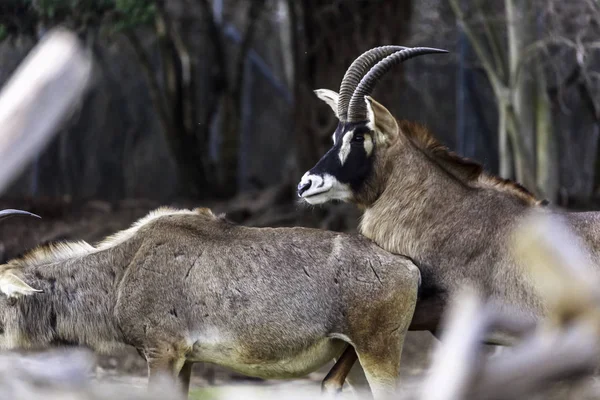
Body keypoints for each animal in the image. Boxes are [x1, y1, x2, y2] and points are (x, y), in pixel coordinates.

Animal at [0, 205, 420, 398]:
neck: (122, 270)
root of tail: (408, 266)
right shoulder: (184, 360)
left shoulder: (162, 352)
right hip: (356, 359)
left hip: (379, 352)